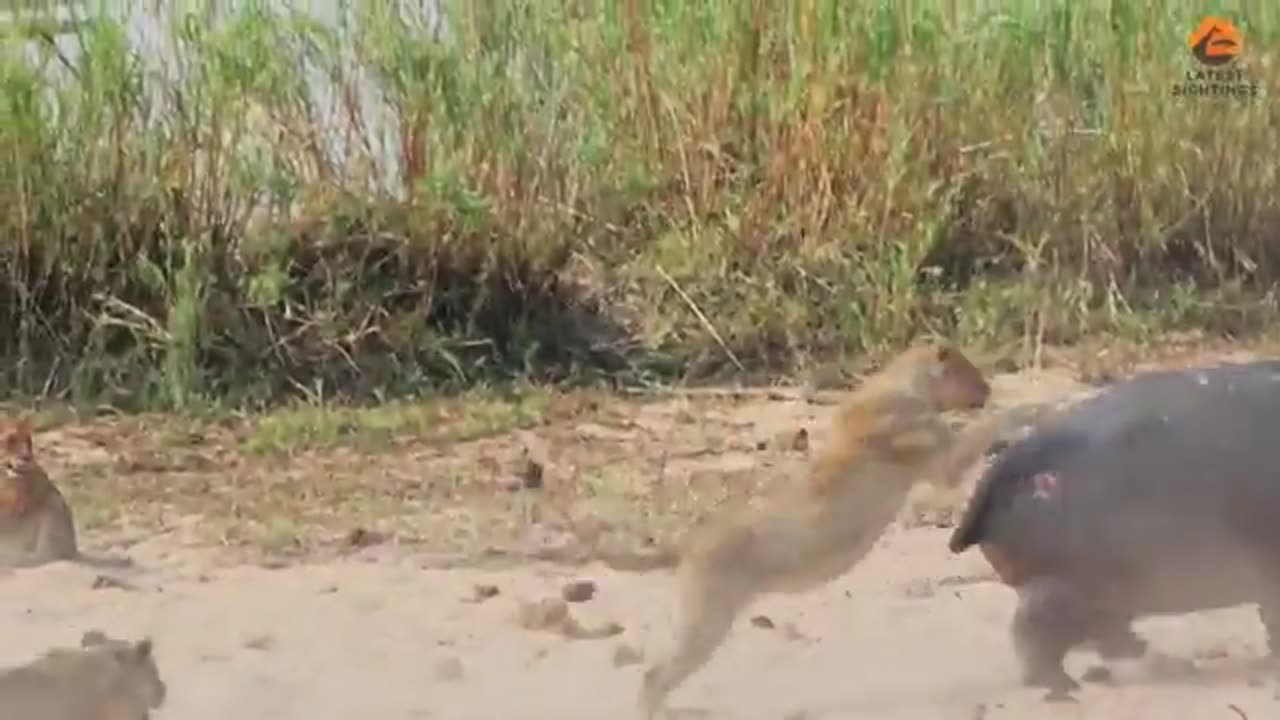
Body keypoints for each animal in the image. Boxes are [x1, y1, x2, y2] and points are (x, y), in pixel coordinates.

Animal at [952, 358, 1280, 696]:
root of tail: (1019, 451)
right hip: (1074, 586)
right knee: (1039, 630)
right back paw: (1065, 686)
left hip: (1097, 587)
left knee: (1100, 634)